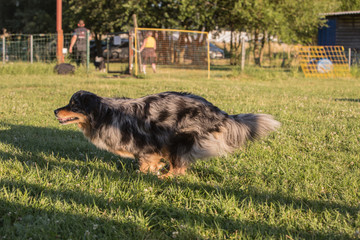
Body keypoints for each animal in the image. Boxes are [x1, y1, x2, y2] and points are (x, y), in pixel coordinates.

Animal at [53, 91, 280, 177]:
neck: (104, 114)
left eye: (73, 105)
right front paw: (155, 168)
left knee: (179, 167)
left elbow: (145, 162)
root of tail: (218, 112)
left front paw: (147, 173)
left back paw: (167, 176)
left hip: (178, 138)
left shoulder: (146, 143)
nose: (55, 111)